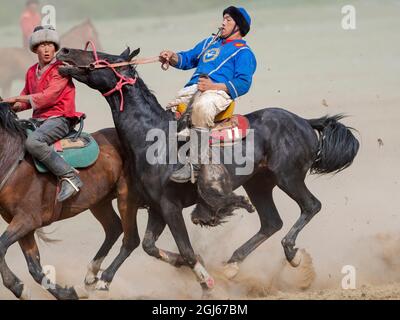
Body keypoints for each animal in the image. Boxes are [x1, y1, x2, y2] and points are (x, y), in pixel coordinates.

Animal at [0, 102, 142, 300]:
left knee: (131, 239)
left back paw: (104, 280)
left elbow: (1, 248)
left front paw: (17, 286)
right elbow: (35, 268)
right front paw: (67, 293)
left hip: (126, 197)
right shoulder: (20, 223)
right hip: (99, 202)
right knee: (114, 228)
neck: (11, 160)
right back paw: (91, 274)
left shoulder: (27, 219)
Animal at [57, 46, 360, 296]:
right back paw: (232, 265)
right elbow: (150, 246)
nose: (65, 51)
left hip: (289, 177)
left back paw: (292, 254)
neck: (154, 138)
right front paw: (105, 278)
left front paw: (207, 284)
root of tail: (304, 122)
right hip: (259, 184)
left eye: (105, 58)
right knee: (271, 222)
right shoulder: (156, 207)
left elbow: (187, 251)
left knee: (310, 206)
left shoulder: (169, 206)